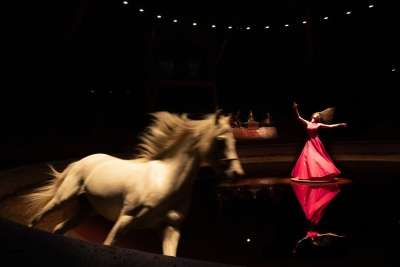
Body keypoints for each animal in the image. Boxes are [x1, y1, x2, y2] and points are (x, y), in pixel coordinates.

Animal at [26, 111, 244, 258]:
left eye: (234, 139)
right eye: (220, 140)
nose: (237, 173)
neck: (166, 181)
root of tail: (81, 161)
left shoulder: (171, 228)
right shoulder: (126, 218)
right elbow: (108, 244)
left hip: (85, 210)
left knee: (59, 228)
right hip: (63, 198)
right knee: (38, 216)